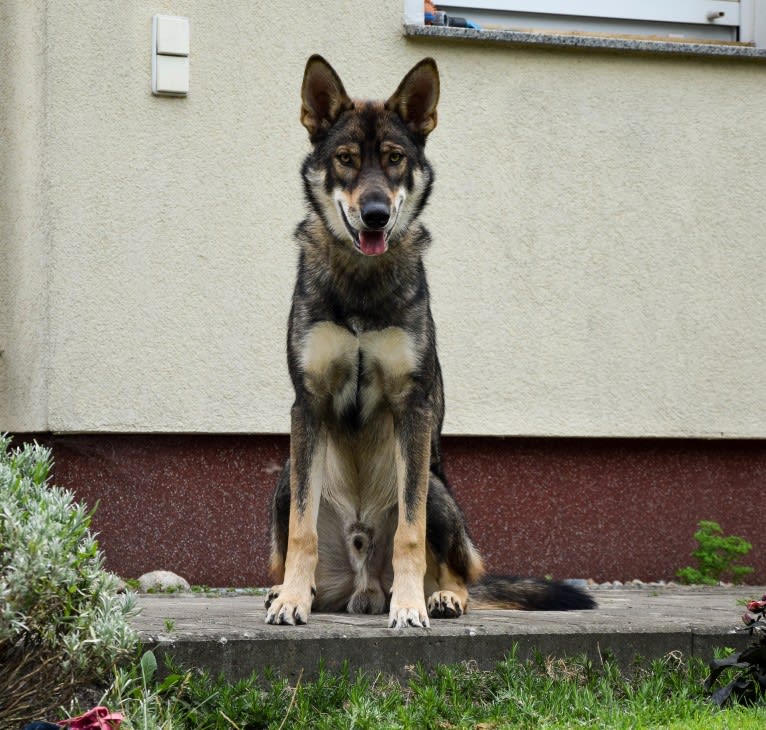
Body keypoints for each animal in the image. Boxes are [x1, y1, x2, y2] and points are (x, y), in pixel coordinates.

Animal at [268, 55, 596, 624]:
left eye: (395, 159)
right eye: (346, 159)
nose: (376, 214)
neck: (362, 281)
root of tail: (360, 587)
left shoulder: (414, 410)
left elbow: (410, 532)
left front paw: (409, 607)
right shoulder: (306, 407)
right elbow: (302, 531)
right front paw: (290, 598)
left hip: (441, 494)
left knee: (458, 569)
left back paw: (441, 598)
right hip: (285, 478)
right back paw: (289, 590)